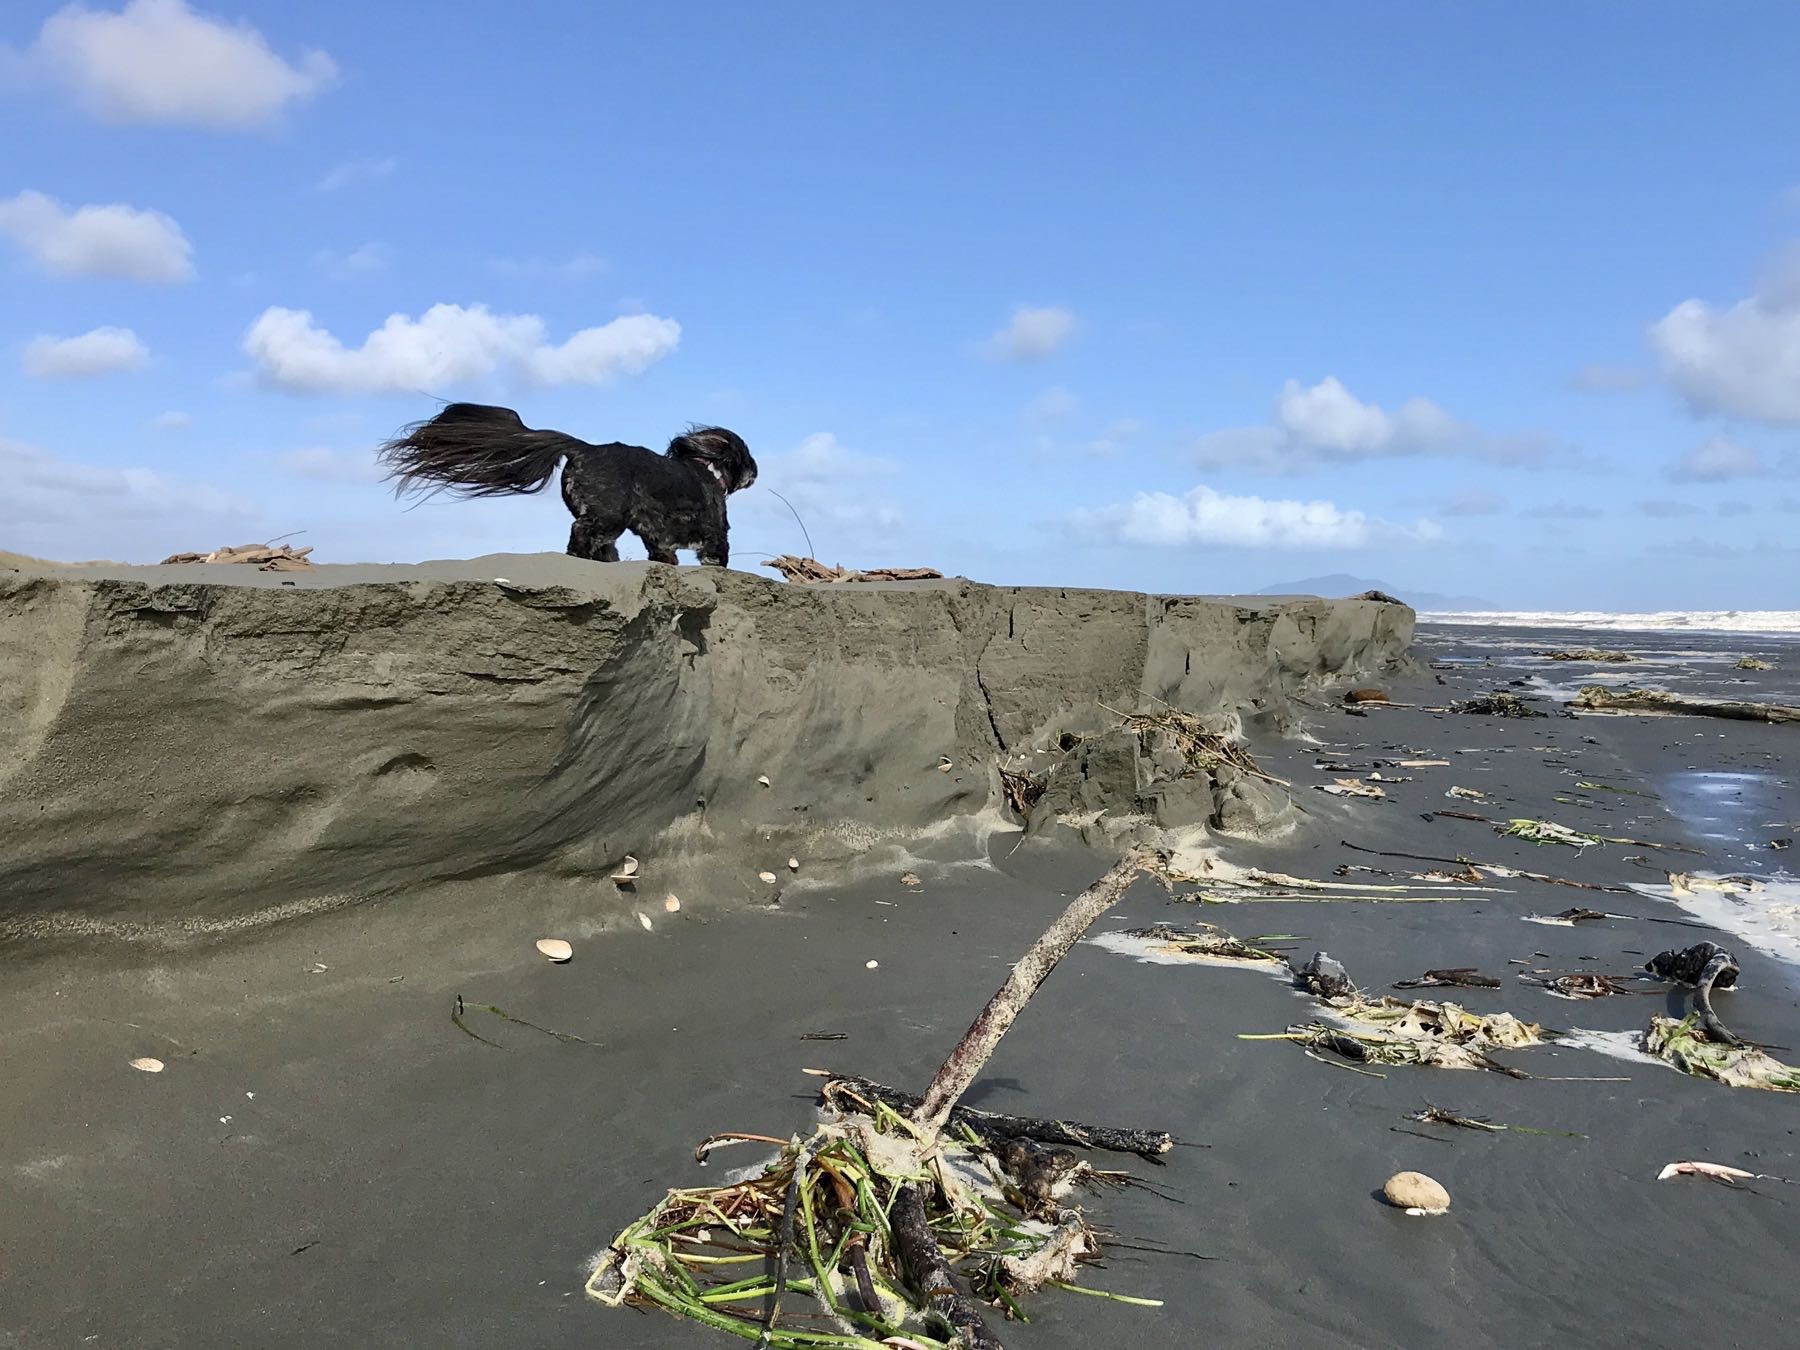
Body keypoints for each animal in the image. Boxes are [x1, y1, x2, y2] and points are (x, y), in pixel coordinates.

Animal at [383, 405, 756, 568]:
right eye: (746, 456)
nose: (755, 473)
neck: (706, 470)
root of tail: (584, 448)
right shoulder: (714, 529)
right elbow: (717, 552)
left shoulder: (655, 532)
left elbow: (661, 551)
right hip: (609, 514)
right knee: (582, 532)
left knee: (597, 540)